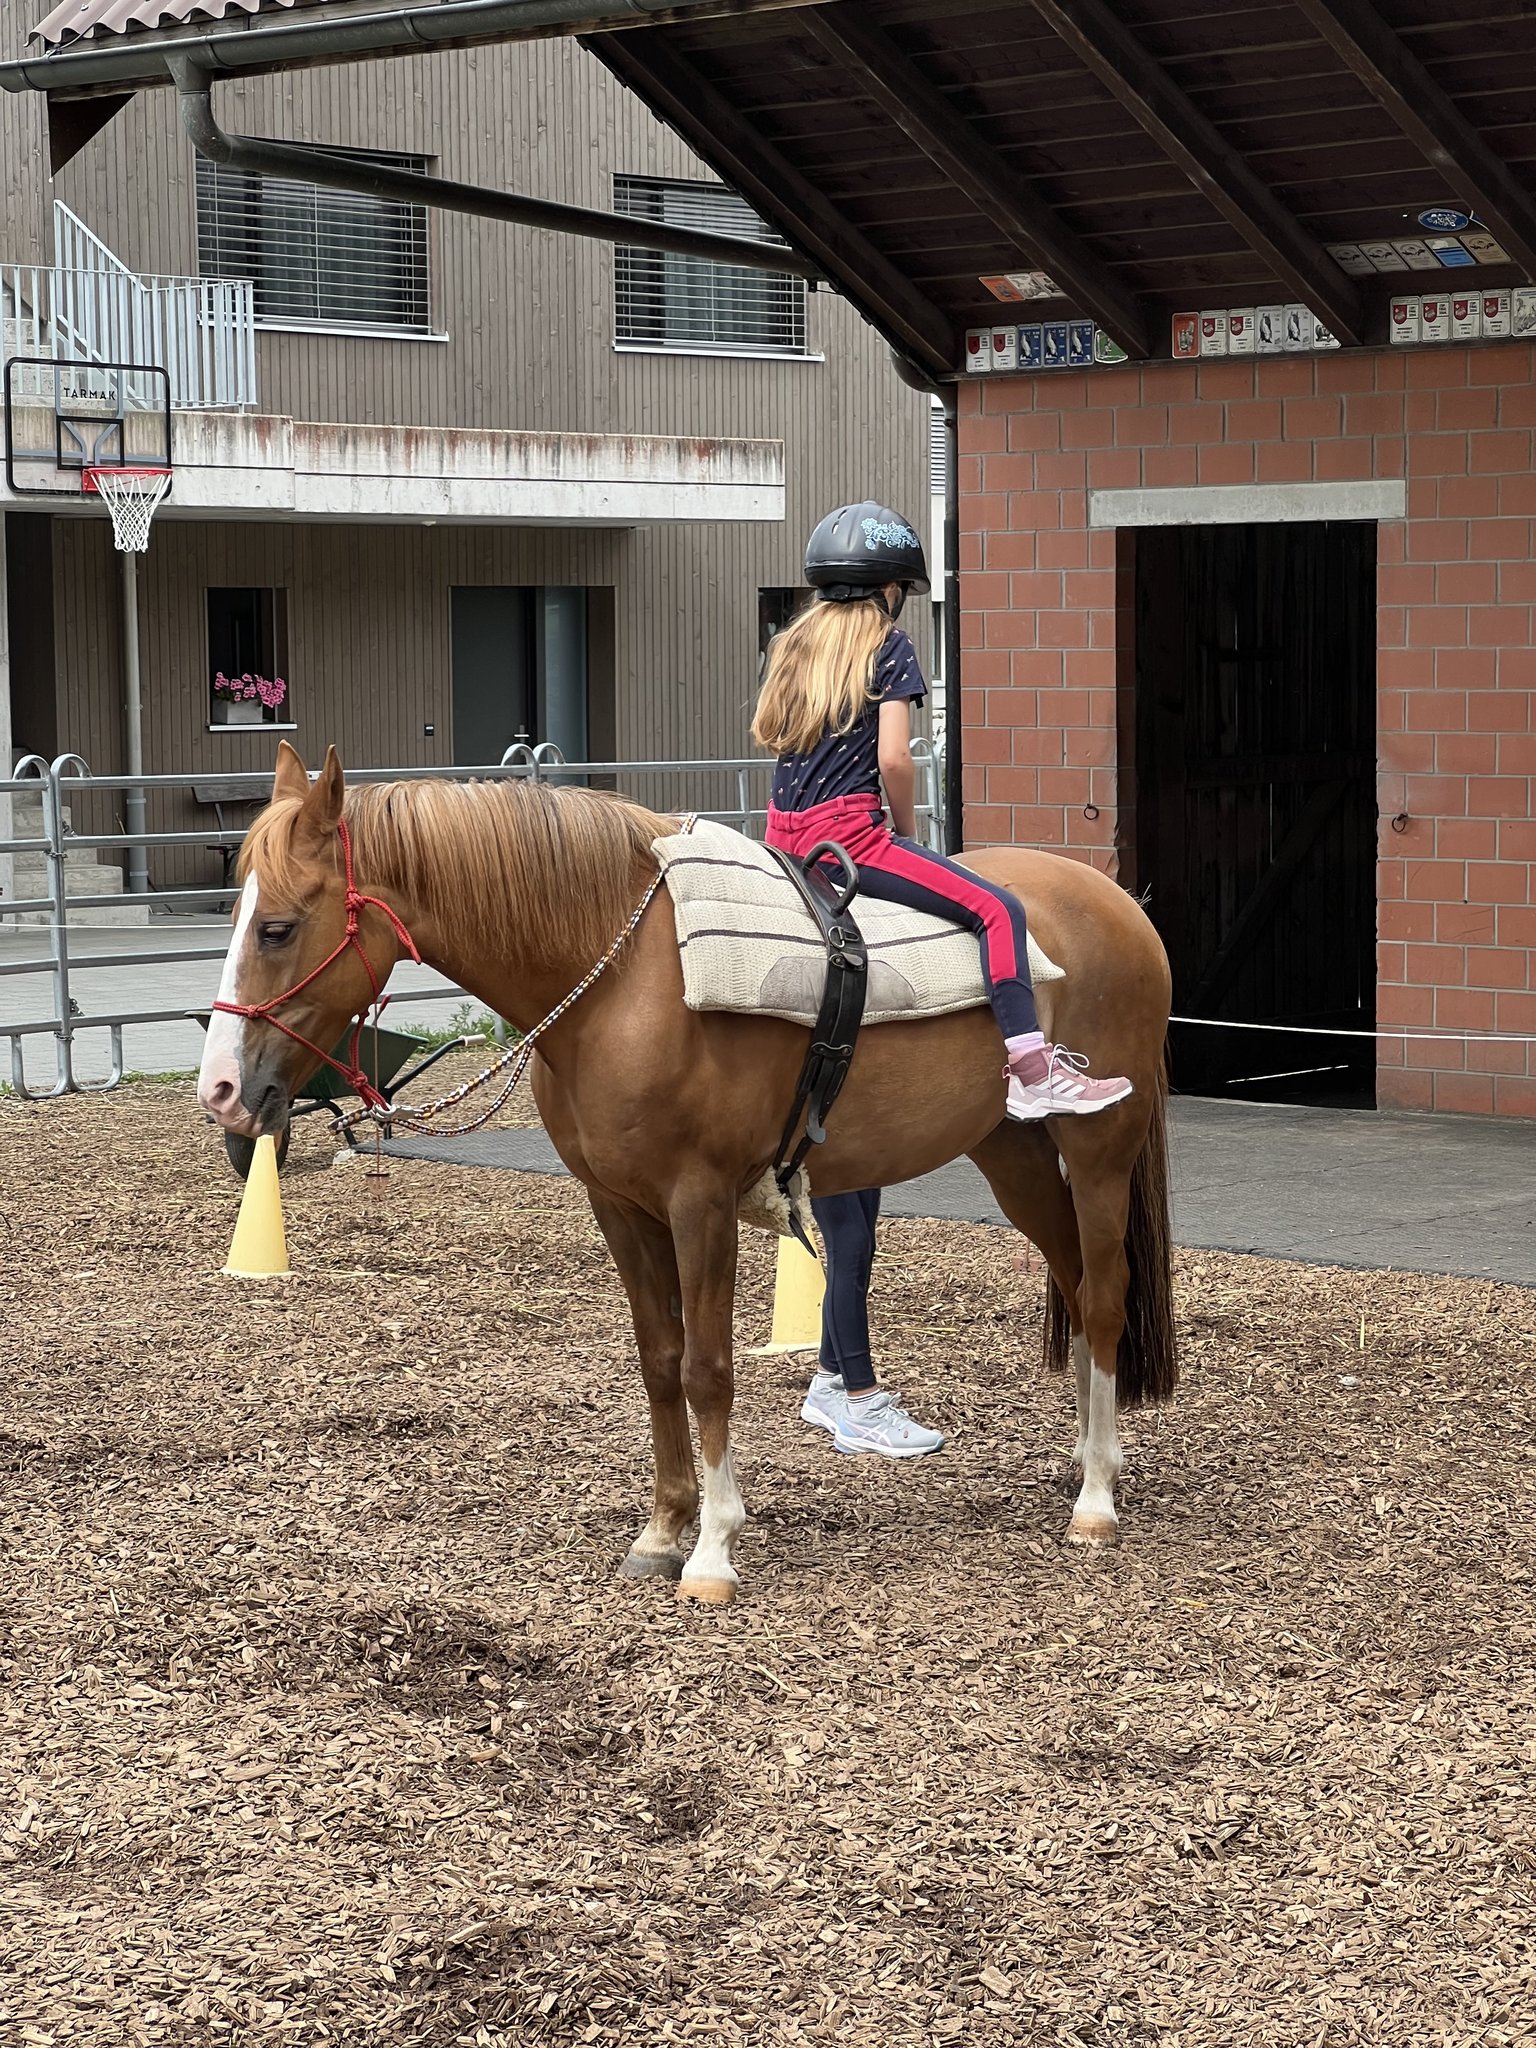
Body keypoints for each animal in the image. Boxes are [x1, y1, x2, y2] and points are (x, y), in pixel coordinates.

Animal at [198, 744, 1177, 1602]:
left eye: (278, 927)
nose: (222, 1090)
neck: (622, 975)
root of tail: (1118, 904)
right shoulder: (620, 1207)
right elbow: (659, 1358)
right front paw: (664, 1530)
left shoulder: (700, 1203)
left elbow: (708, 1368)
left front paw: (711, 1552)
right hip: (1011, 1152)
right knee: (1075, 1279)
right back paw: (1087, 1460)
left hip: (1099, 1150)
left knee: (1102, 1295)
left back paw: (1096, 1499)